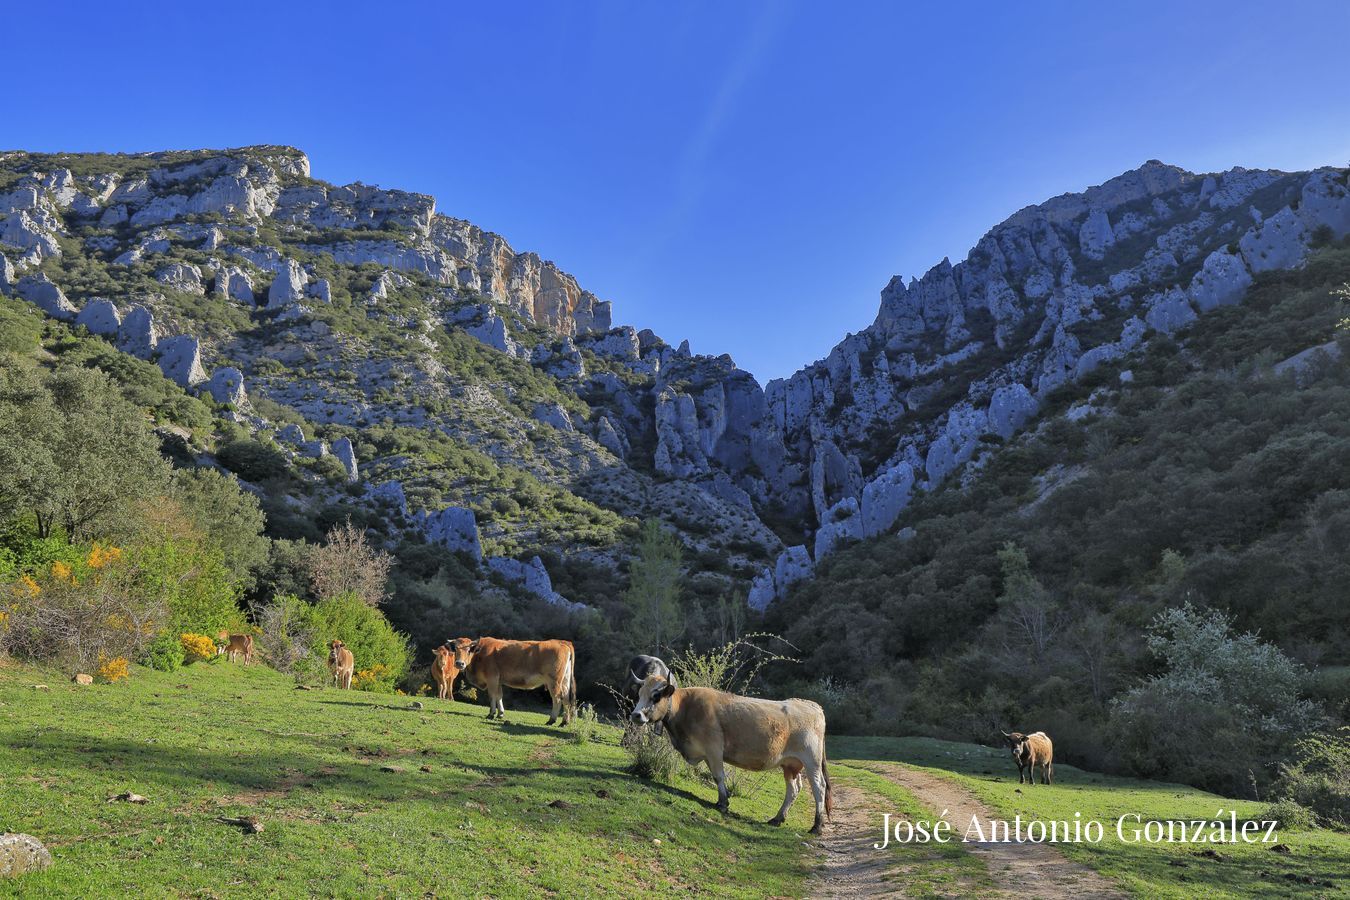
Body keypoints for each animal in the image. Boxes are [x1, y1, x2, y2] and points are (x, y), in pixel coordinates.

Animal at [631, 680, 831, 836]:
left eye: (656, 696)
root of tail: (811, 705)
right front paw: (723, 799)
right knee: (793, 789)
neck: (685, 707)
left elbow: (718, 776)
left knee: (819, 787)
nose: (635, 715)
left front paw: (723, 802)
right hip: (790, 764)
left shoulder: (714, 748)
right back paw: (777, 818)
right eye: (640, 694)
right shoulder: (707, 753)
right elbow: (716, 775)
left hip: (811, 760)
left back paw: (816, 826)